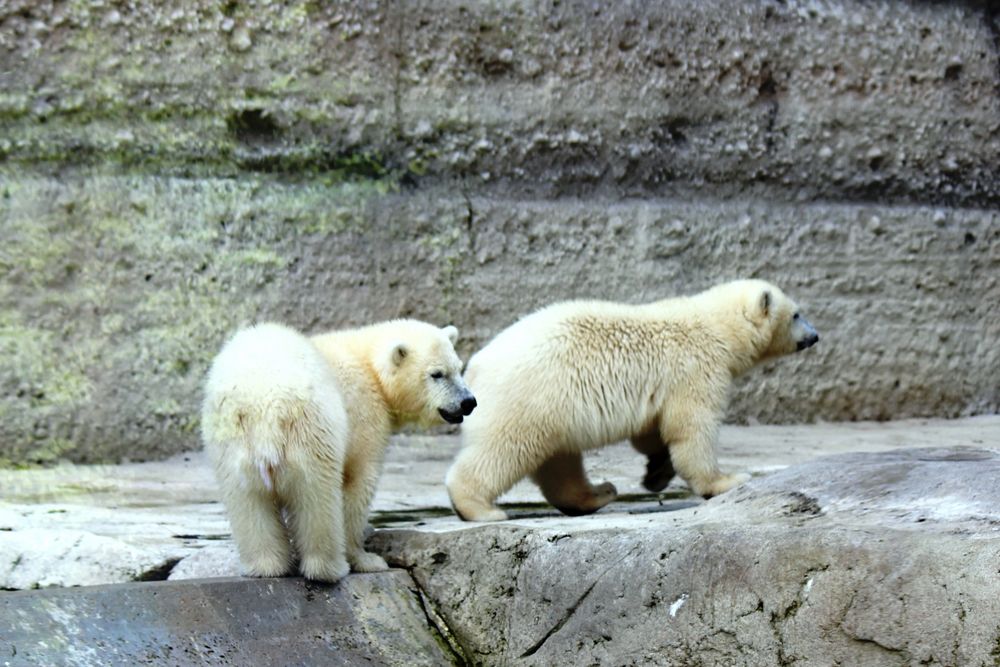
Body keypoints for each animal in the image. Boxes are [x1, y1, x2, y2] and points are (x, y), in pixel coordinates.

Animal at [203, 318, 476, 580]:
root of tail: (264, 406)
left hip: (232, 440)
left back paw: (266, 566)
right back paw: (330, 568)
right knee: (316, 498)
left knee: (247, 501)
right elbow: (358, 483)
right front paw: (367, 560)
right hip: (311, 431)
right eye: (437, 374)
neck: (369, 365)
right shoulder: (363, 412)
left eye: (458, 368)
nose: (468, 402)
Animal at [448, 280, 820, 524]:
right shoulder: (695, 369)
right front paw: (727, 480)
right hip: (530, 396)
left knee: (558, 460)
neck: (715, 327)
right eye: (797, 314)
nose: (815, 336)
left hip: (552, 409)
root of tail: (476, 366)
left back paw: (599, 493)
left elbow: (652, 431)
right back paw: (480, 508)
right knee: (505, 449)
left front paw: (657, 472)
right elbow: (692, 428)